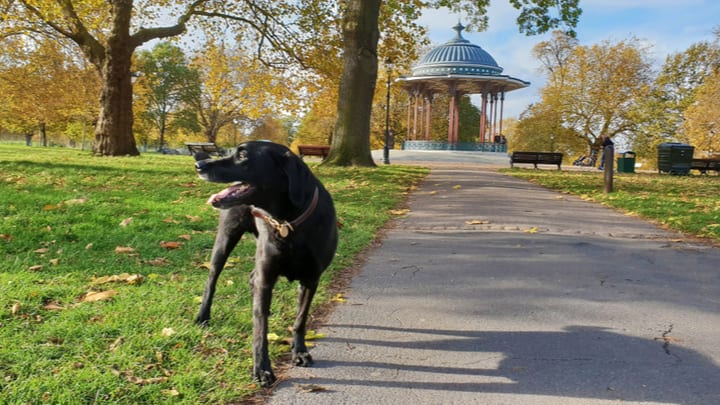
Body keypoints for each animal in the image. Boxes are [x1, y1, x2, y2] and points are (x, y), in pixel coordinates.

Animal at [191, 141, 338, 386]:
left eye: (242, 155)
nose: (199, 164)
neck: (288, 222)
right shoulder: (267, 275)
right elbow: (260, 329)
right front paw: (261, 369)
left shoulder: (311, 279)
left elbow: (300, 319)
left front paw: (299, 351)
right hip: (225, 239)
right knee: (212, 280)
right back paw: (203, 316)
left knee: (252, 279)